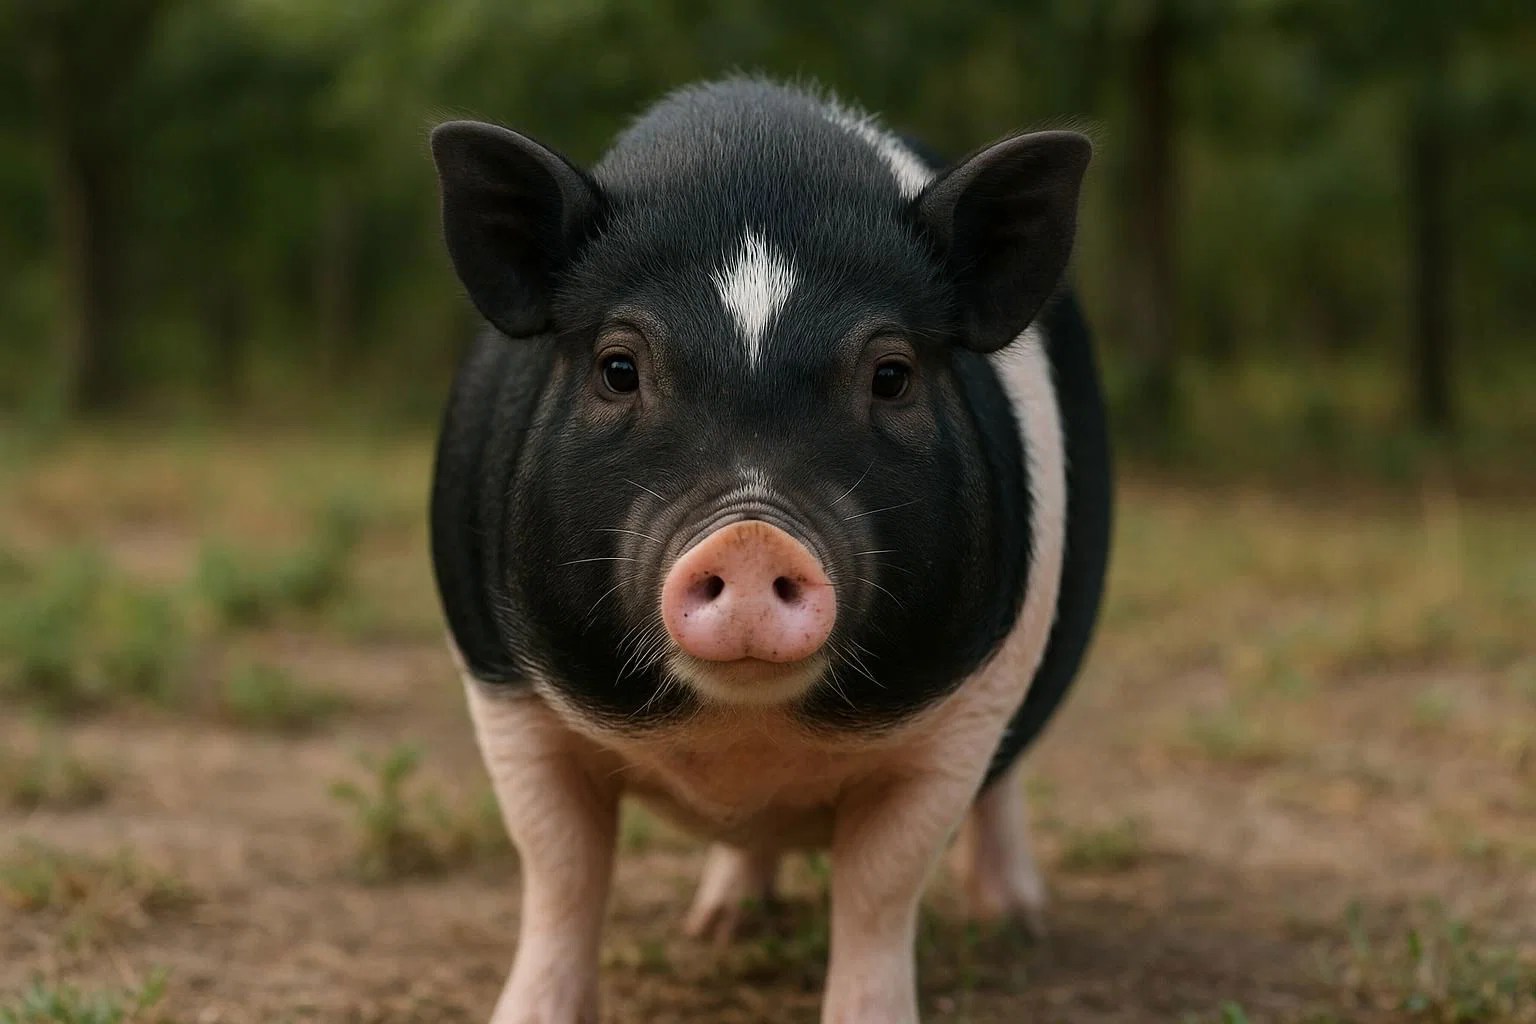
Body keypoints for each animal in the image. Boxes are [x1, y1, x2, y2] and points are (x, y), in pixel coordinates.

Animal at [428, 77, 1111, 1024]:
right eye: (616, 368)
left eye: (892, 375)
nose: (751, 533)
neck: (744, 739)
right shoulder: (503, 687)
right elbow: (559, 871)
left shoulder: (963, 715)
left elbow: (881, 888)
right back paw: (720, 927)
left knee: (1005, 787)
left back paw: (1015, 925)